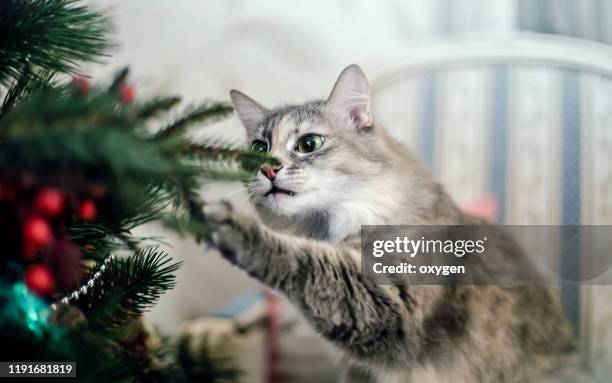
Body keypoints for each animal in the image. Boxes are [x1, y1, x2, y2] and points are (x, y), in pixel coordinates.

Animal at [203, 64, 584, 382]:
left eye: (308, 143)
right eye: (258, 148)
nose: (267, 169)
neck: (328, 228)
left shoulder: (393, 305)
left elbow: (301, 260)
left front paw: (226, 223)